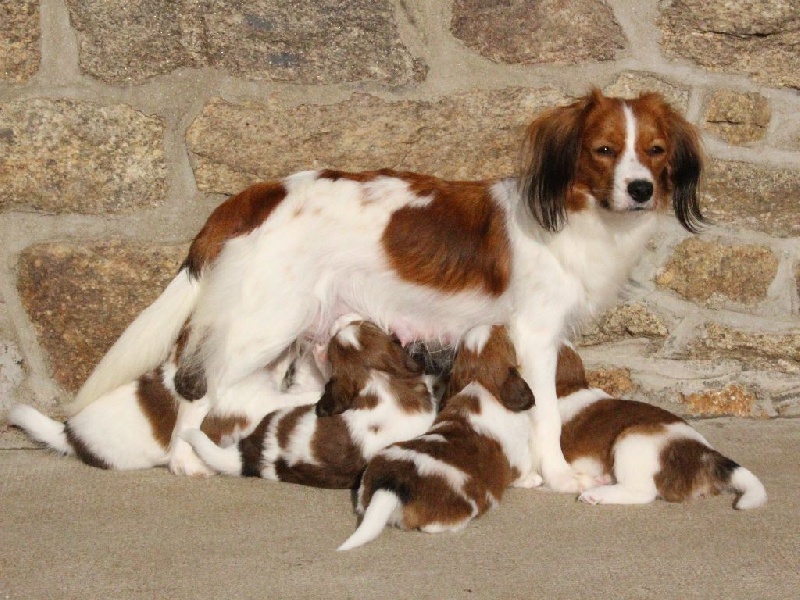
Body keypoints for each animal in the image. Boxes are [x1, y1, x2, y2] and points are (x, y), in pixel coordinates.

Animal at [334, 326, 536, 552]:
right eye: (506, 340)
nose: (500, 324)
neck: (479, 382)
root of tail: (390, 488)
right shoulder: (521, 459)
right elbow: (523, 474)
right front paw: (535, 479)